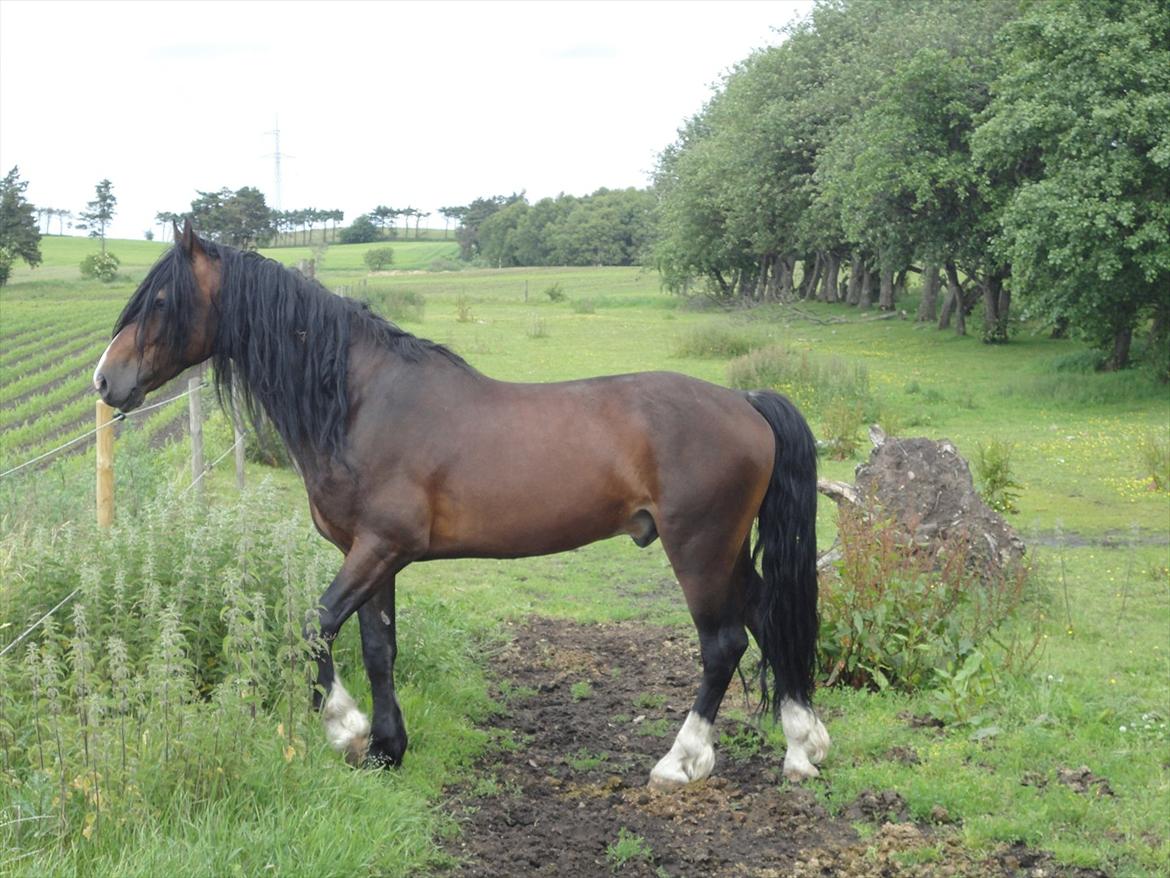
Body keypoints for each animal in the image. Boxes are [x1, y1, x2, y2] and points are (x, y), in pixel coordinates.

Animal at [95, 223, 833, 786]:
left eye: (160, 299)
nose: (106, 381)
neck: (361, 403)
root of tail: (745, 401)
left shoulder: (378, 549)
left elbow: (315, 626)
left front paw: (344, 728)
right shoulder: (375, 558)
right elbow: (377, 648)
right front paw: (386, 749)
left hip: (699, 548)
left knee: (723, 643)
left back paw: (681, 761)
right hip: (726, 550)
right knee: (768, 616)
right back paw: (803, 748)